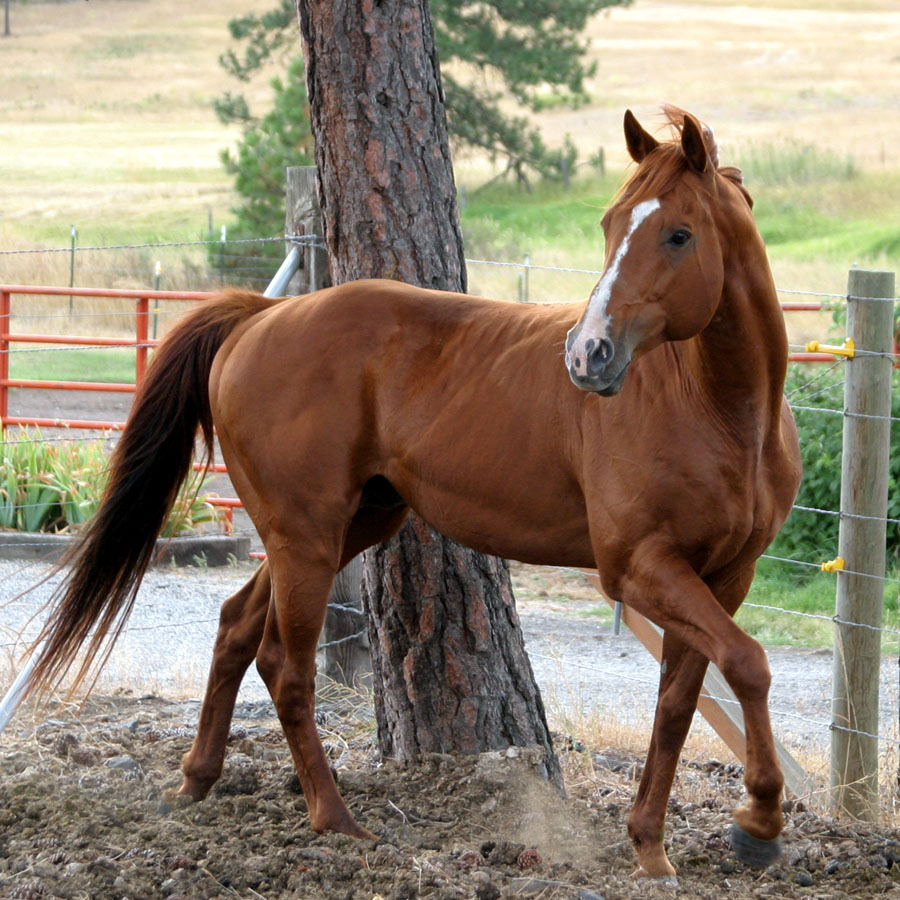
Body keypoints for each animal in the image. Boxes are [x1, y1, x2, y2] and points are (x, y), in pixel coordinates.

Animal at [27, 107, 801, 880]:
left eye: (679, 234)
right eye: (611, 224)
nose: (588, 355)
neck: (718, 411)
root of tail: (256, 319)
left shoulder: (720, 577)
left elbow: (681, 703)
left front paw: (652, 845)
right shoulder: (640, 568)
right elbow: (750, 665)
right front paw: (758, 821)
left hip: (343, 527)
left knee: (236, 627)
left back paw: (196, 780)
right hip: (307, 538)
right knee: (285, 666)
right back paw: (337, 820)